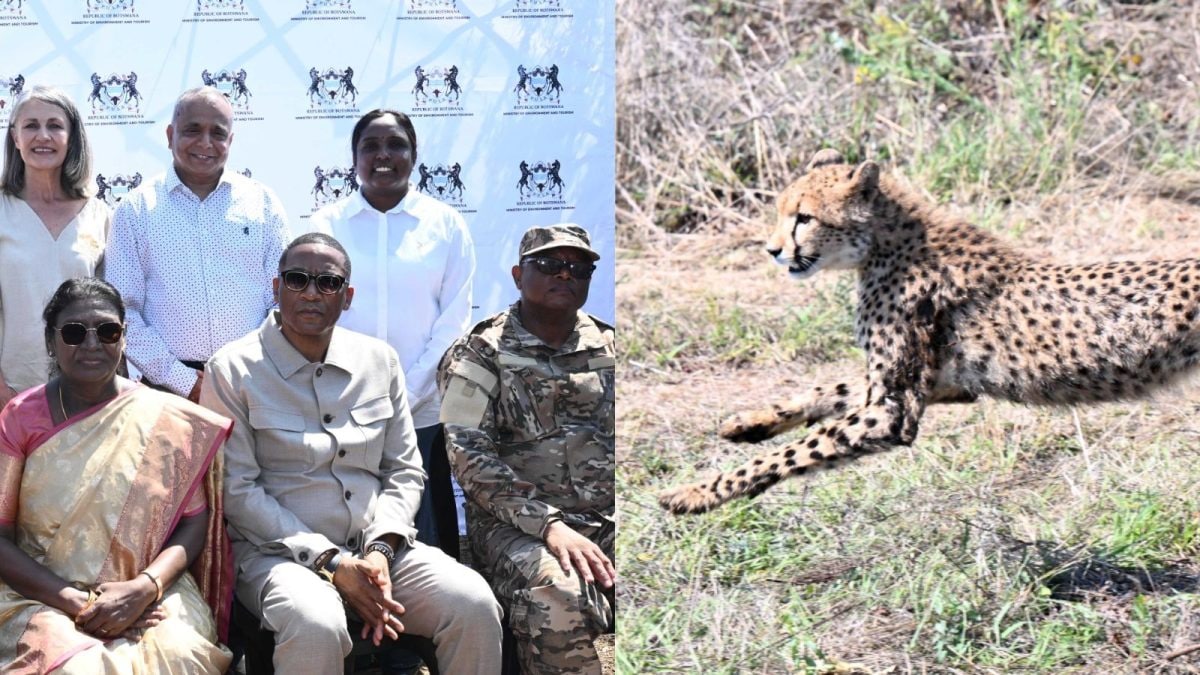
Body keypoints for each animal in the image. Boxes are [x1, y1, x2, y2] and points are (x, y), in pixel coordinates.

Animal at [658, 148, 1200, 515]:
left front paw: (698, 491)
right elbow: (826, 390)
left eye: (804, 218)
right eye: (781, 213)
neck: (882, 245)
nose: (772, 251)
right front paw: (751, 422)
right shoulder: (945, 383)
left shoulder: (892, 411)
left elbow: (798, 450)